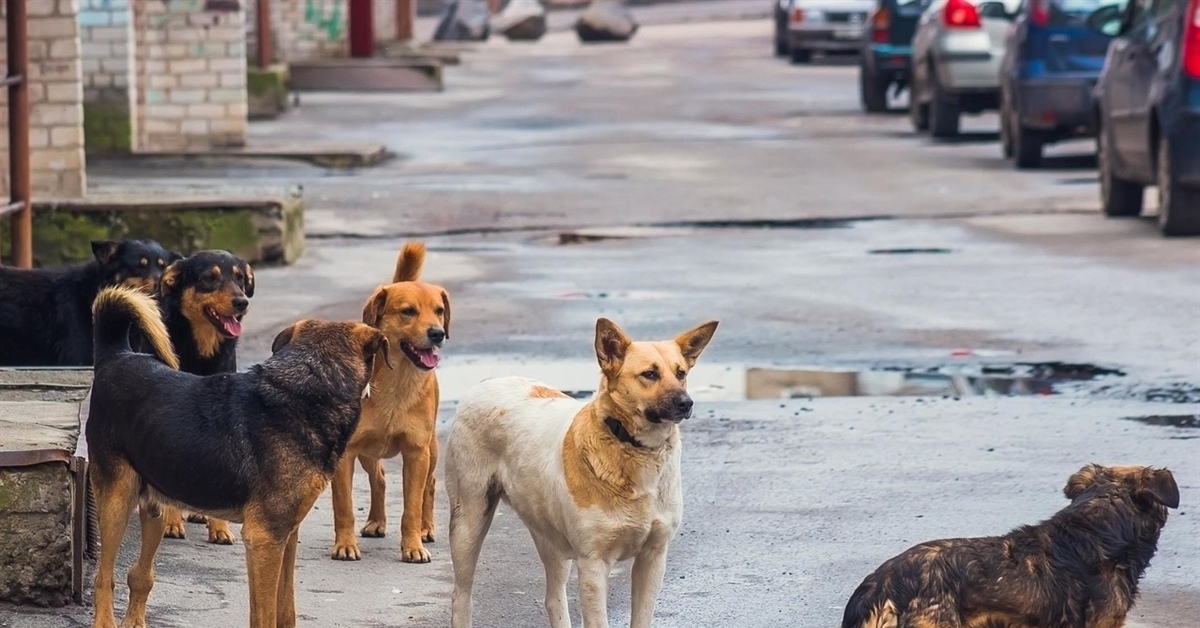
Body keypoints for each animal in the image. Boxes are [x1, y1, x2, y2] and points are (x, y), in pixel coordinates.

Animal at [88, 285, 388, 628]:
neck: (310, 386)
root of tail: (117, 356)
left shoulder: (287, 535)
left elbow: (286, 608)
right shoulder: (264, 539)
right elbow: (265, 614)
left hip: (155, 507)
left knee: (139, 574)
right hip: (116, 500)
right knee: (103, 576)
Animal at [328, 242, 451, 564]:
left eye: (439, 311)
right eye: (408, 312)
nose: (438, 333)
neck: (397, 382)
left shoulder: (416, 453)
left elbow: (411, 507)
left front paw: (413, 546)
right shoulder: (346, 454)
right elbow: (344, 506)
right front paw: (345, 545)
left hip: (432, 449)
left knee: (430, 486)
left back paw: (426, 528)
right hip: (367, 452)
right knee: (379, 479)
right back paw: (376, 521)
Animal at [446, 319, 715, 628]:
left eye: (681, 373)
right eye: (649, 374)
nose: (687, 403)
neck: (632, 447)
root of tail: (487, 382)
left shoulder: (653, 557)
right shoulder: (593, 564)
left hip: (548, 534)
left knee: (553, 598)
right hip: (469, 523)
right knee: (461, 597)